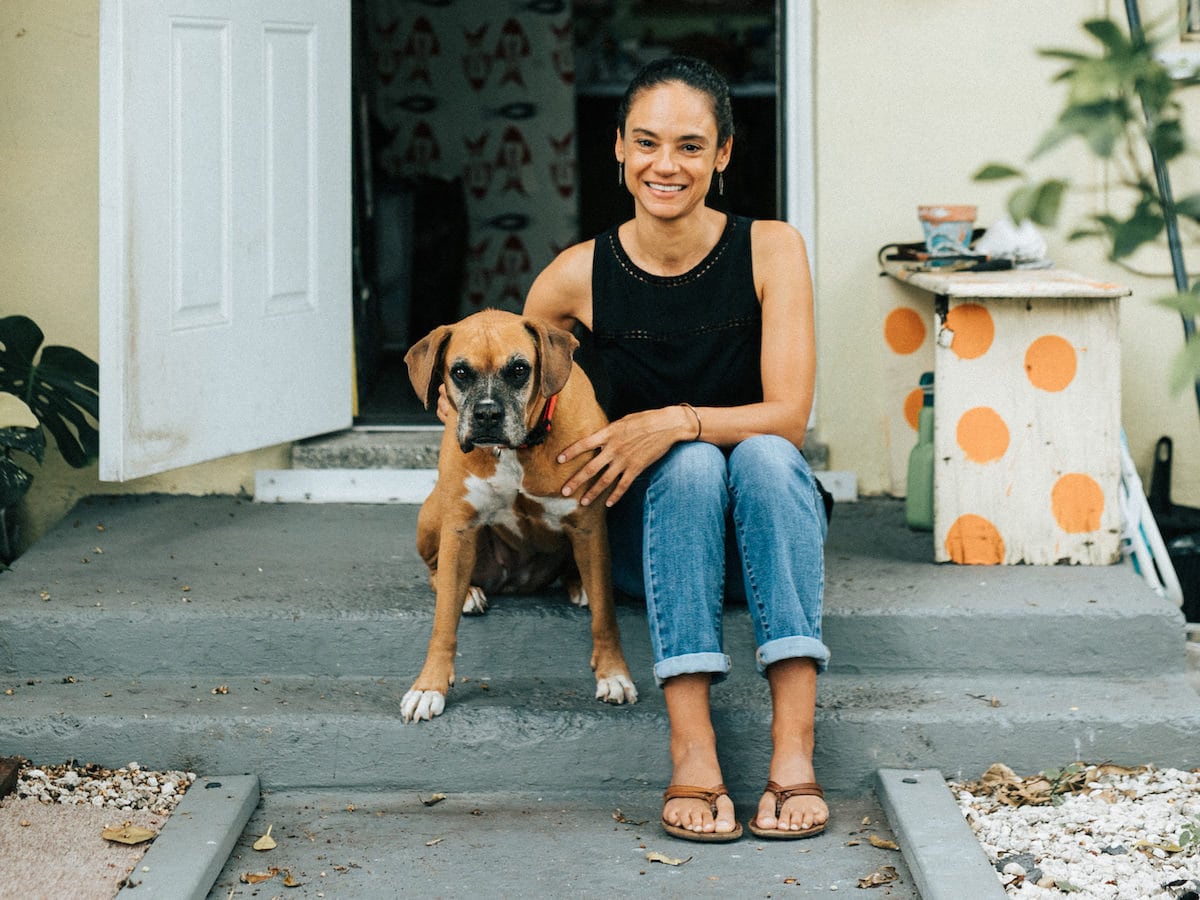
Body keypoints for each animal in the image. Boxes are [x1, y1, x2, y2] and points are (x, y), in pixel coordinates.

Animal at [398, 309, 638, 724]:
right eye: (460, 372)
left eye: (519, 370)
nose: (487, 413)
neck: (517, 448)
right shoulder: (459, 527)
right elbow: (442, 624)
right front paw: (428, 687)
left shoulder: (589, 526)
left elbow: (606, 617)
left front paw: (614, 675)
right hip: (436, 512)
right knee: (436, 572)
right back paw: (467, 592)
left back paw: (580, 585)